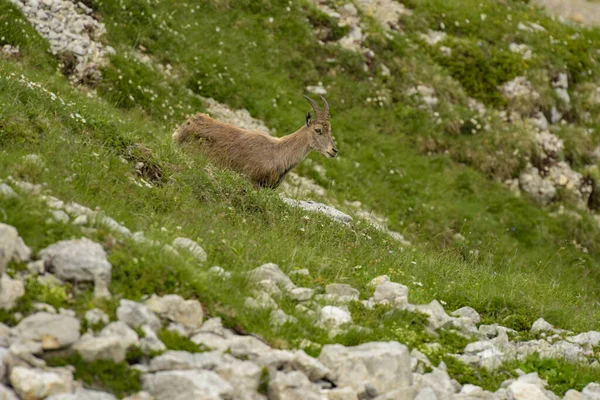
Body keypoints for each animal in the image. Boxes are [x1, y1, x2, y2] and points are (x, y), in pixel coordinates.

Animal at [172, 95, 338, 188]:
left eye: (330, 130)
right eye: (318, 130)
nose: (333, 150)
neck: (279, 153)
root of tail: (188, 123)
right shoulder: (251, 179)